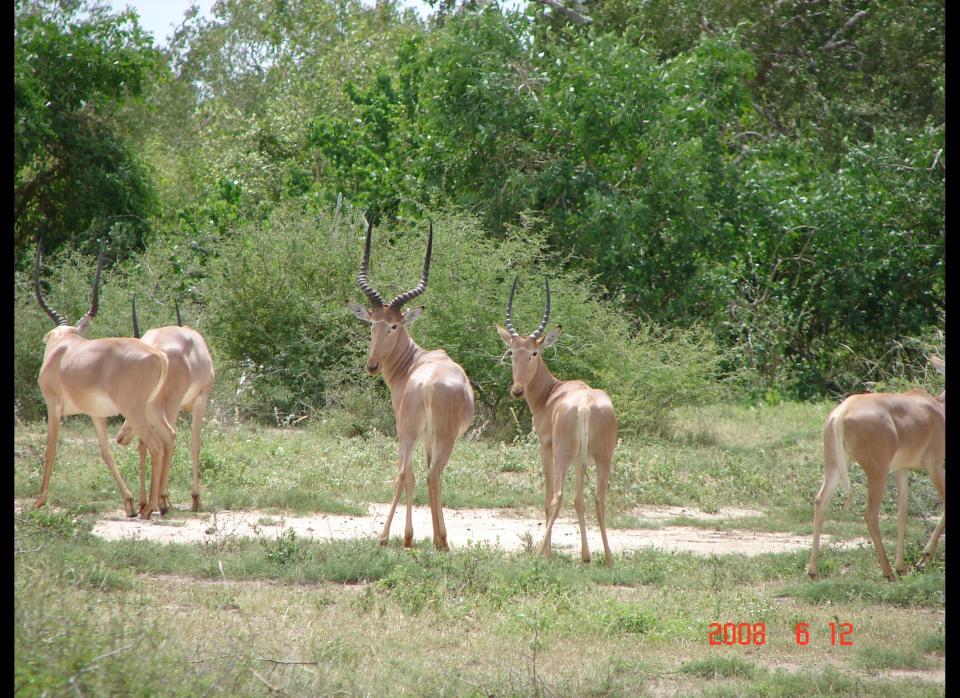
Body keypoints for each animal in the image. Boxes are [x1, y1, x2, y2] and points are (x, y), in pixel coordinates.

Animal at [32, 239, 175, 516]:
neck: (63, 348)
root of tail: (157, 355)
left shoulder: (53, 405)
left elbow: (50, 449)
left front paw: (39, 501)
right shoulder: (96, 415)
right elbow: (106, 452)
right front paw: (128, 503)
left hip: (134, 411)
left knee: (154, 444)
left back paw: (149, 508)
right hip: (151, 409)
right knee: (167, 438)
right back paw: (157, 505)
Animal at [348, 220, 476, 548]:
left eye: (394, 325)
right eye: (373, 323)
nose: (372, 365)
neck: (416, 362)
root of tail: (428, 384)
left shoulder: (423, 437)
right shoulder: (429, 438)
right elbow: (426, 475)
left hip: (410, 432)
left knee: (408, 472)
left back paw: (391, 537)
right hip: (435, 437)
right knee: (426, 475)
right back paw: (435, 541)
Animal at [498, 274, 620, 564]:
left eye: (534, 352)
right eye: (512, 352)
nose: (517, 390)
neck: (552, 393)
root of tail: (585, 405)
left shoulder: (546, 448)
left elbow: (548, 498)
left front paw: (549, 553)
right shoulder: (581, 461)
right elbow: (580, 501)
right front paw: (585, 556)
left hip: (563, 455)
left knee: (557, 497)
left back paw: (539, 553)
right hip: (603, 458)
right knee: (598, 499)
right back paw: (609, 559)